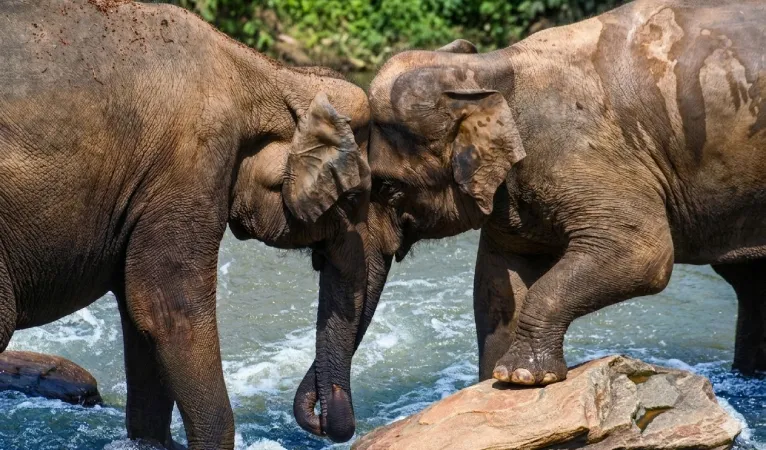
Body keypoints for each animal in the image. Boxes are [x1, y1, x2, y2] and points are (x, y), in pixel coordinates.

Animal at [1, 0, 371, 447]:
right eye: (354, 196)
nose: (318, 421)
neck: (267, 73)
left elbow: (138, 314)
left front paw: (153, 443)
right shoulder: (190, 163)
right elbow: (167, 310)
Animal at [297, 0, 766, 438]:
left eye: (389, 189)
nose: (319, 422)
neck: (489, 71)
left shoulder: (583, 153)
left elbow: (643, 254)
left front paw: (521, 378)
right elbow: (497, 280)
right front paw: (494, 383)